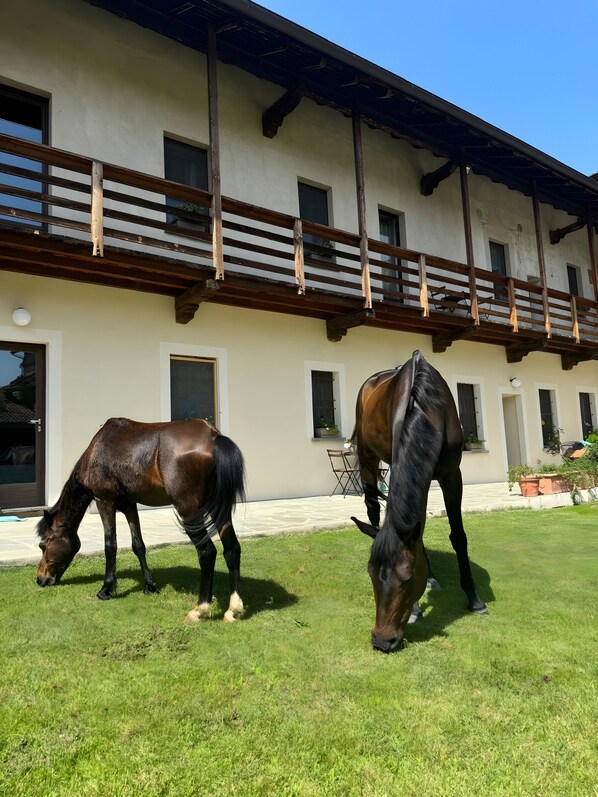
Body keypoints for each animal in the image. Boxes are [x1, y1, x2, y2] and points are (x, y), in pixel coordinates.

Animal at [36, 417, 246, 623]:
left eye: (43, 545)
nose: (40, 579)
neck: (96, 450)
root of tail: (213, 435)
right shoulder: (129, 505)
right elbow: (138, 545)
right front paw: (150, 586)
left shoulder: (104, 502)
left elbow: (110, 545)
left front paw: (106, 589)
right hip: (219, 509)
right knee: (232, 549)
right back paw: (234, 608)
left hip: (190, 511)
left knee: (207, 552)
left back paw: (200, 609)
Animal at [351, 350, 487, 652]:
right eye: (369, 574)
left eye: (408, 577)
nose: (382, 640)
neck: (428, 411)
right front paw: (415, 611)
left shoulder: (451, 475)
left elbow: (458, 536)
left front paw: (474, 599)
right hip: (368, 457)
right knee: (373, 510)